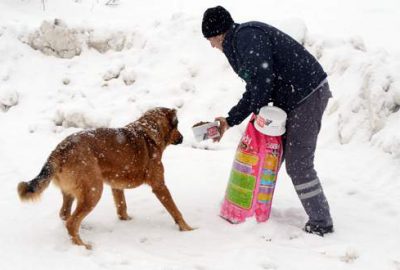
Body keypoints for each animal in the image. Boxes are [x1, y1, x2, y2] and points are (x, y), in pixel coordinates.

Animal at [18, 107, 193, 249]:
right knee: (71, 222)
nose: (182, 138)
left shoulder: (117, 185)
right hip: (94, 191)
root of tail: (59, 150)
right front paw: (188, 229)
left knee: (65, 215)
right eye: (177, 126)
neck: (149, 131)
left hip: (71, 193)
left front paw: (126, 221)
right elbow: (176, 211)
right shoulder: (159, 186)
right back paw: (82, 245)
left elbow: (122, 207)